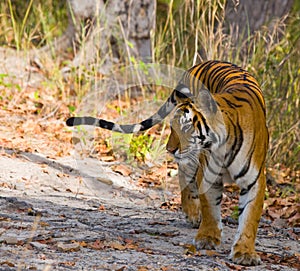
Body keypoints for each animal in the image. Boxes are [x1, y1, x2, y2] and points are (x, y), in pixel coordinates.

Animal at [65, 60, 268, 266]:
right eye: (172, 127)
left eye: (186, 127)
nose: (170, 149)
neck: (221, 144)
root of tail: (200, 64)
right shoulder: (208, 174)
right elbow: (210, 208)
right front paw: (207, 238)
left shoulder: (254, 181)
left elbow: (249, 219)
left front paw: (245, 253)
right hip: (192, 160)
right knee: (185, 175)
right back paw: (192, 214)